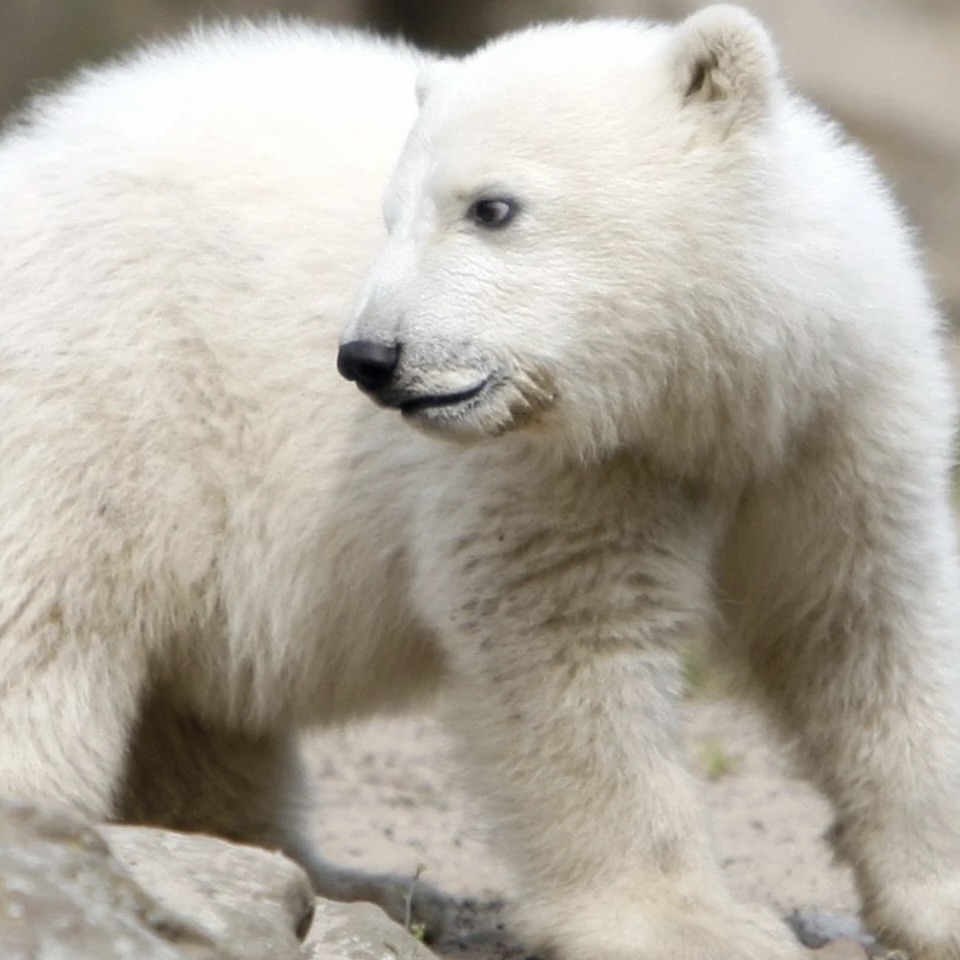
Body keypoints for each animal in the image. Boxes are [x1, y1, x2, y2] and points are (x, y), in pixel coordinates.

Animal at [0, 6, 959, 960]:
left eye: (491, 207)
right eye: (391, 216)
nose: (369, 357)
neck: (699, 402)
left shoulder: (832, 428)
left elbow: (862, 630)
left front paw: (933, 898)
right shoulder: (554, 465)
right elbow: (568, 645)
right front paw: (688, 921)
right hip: (110, 383)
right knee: (51, 618)